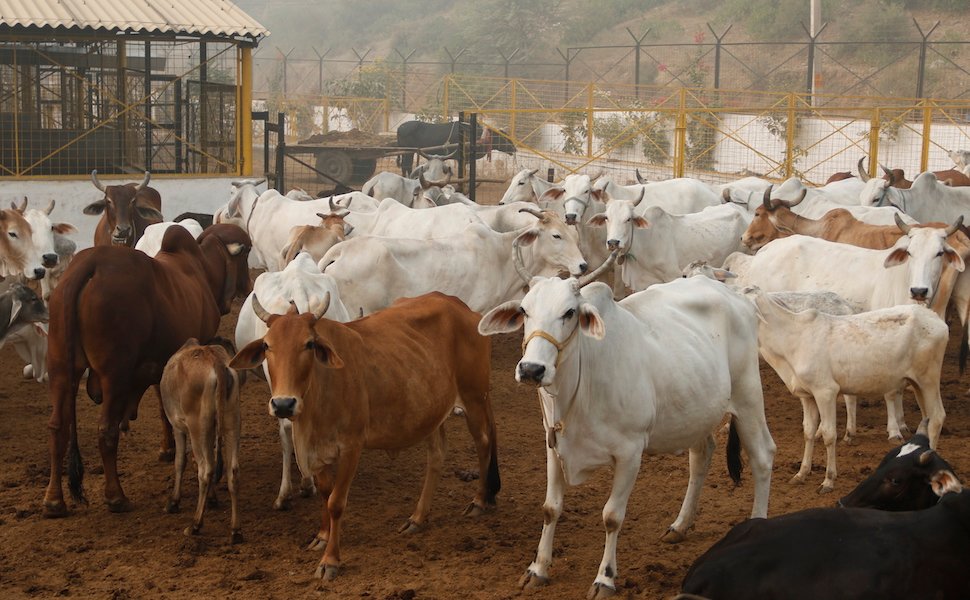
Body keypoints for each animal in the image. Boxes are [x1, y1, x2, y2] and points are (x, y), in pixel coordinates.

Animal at [42, 223, 252, 517]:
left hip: (61, 369)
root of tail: (90, 264)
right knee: (106, 431)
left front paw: (168, 448)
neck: (203, 268)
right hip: (114, 374)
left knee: (57, 427)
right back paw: (116, 496)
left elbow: (164, 407)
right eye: (246, 254)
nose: (249, 285)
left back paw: (54, 501)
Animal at [161, 338, 243, 544]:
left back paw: (195, 525)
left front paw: (174, 501)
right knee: (232, 471)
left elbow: (180, 462)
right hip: (232, 421)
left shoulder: (178, 427)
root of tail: (216, 363)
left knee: (206, 470)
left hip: (198, 426)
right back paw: (235, 530)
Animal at [230, 291, 501, 580]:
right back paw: (417, 518)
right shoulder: (319, 451)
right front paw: (322, 536)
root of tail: (460, 305)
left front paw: (330, 560)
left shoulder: (352, 446)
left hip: (474, 397)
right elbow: (325, 493)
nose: (283, 404)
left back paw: (479, 501)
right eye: (267, 345)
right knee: (437, 456)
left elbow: (336, 502)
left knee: (484, 442)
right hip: (430, 409)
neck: (321, 389)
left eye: (309, 344)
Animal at [478, 253, 775, 598]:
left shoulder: (630, 453)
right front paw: (537, 569)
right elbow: (551, 507)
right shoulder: (553, 445)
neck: (580, 385)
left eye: (569, 312)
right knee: (701, 456)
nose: (531, 369)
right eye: (525, 310)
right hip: (696, 409)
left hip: (748, 396)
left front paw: (605, 578)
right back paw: (680, 525)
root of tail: (736, 296)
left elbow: (612, 516)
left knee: (763, 456)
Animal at [748, 288, 948, 493]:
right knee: (927, 418)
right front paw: (802, 473)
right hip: (917, 384)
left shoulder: (825, 392)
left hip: (929, 379)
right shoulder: (807, 395)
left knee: (937, 417)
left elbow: (829, 435)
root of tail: (934, 317)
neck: (792, 339)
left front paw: (828, 480)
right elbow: (808, 431)